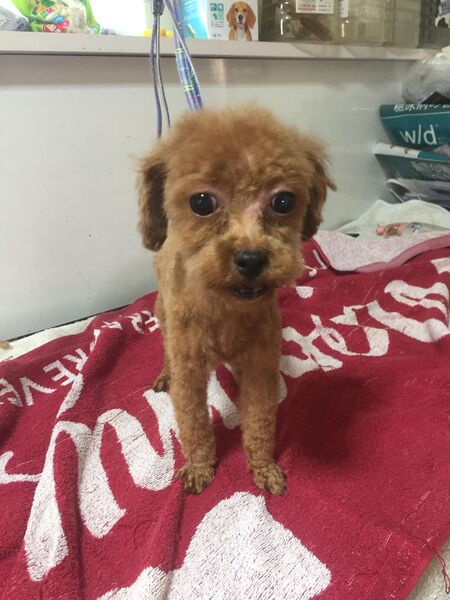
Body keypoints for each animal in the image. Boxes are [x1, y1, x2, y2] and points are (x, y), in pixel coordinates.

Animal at [138, 106, 335, 495]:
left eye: (284, 201)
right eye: (201, 202)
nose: (251, 259)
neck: (224, 307)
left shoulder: (260, 368)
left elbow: (259, 422)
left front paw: (263, 467)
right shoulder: (190, 373)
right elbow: (194, 425)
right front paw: (200, 467)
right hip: (164, 316)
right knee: (166, 346)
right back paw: (164, 373)